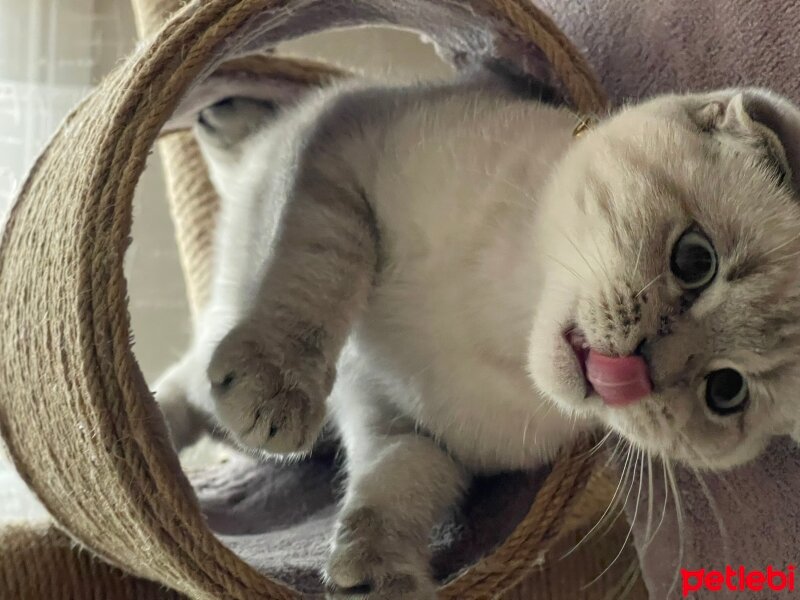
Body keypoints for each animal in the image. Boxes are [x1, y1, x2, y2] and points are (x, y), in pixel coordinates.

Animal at [152, 78, 800, 596]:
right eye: (695, 261)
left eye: (725, 392)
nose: (639, 372)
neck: (503, 324)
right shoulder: (346, 150)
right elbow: (320, 270)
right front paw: (277, 388)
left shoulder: (422, 435)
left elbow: (392, 493)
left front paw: (376, 578)